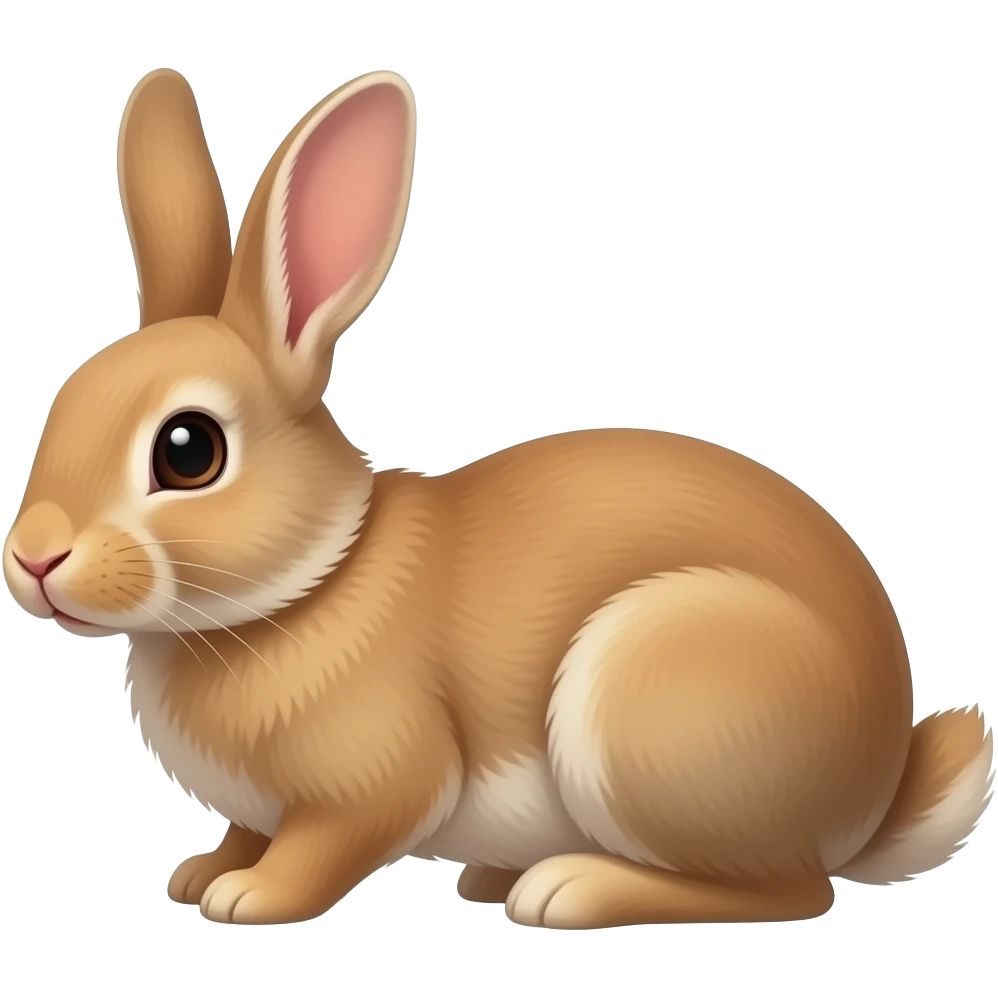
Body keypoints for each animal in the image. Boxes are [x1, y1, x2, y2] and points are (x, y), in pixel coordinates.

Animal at [2, 66, 993, 929]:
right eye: (63, 399)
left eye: (188, 451)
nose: (34, 557)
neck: (311, 581)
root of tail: (878, 788)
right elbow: (249, 830)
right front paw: (199, 874)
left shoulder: (376, 781)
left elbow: (325, 845)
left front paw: (249, 898)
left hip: (653, 701)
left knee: (790, 891)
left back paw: (568, 890)